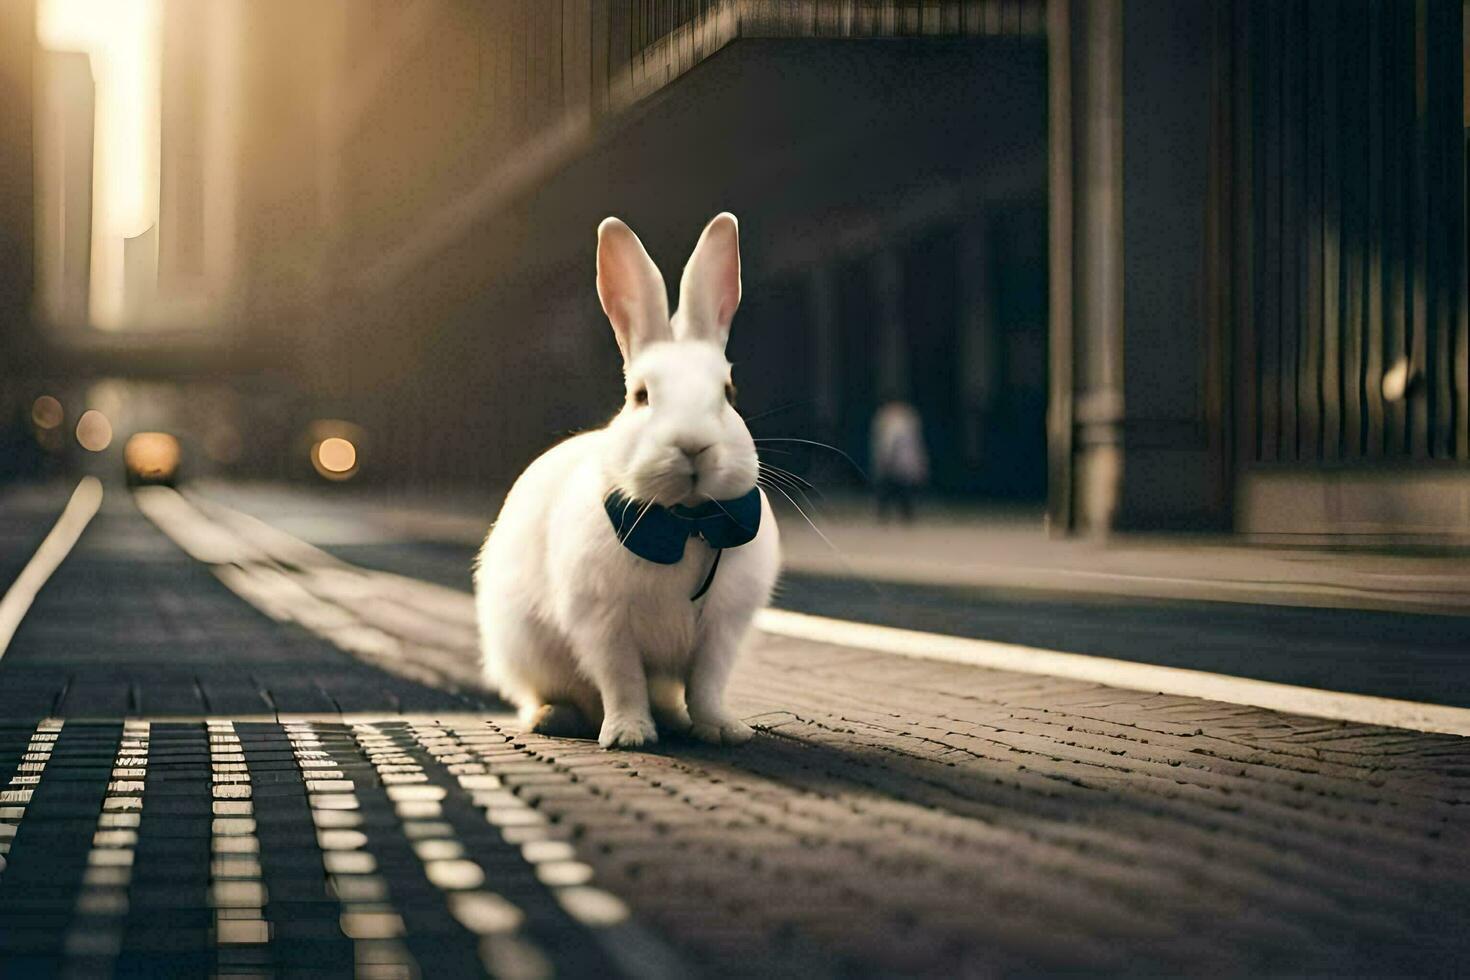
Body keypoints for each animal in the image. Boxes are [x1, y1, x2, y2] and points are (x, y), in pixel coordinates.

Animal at [479, 215, 782, 752]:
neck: (686, 524)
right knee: (553, 693)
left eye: (729, 392)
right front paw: (628, 735)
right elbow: (622, 681)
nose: (692, 446)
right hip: (524, 650)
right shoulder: (603, 624)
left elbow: (707, 685)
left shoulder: (722, 628)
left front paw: (723, 730)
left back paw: (676, 722)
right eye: (641, 396)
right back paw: (554, 718)